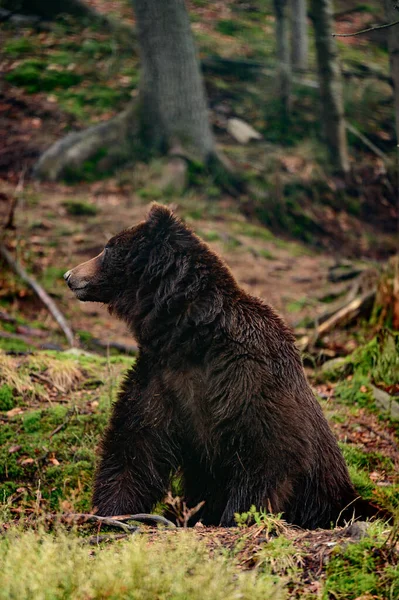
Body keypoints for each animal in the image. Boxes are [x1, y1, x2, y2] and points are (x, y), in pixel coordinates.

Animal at [64, 204, 374, 528]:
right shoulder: (162, 375)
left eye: (107, 248)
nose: (69, 275)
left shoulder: (249, 376)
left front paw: (236, 516)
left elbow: (266, 453)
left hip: (327, 492)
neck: (191, 336)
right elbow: (136, 441)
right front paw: (111, 512)